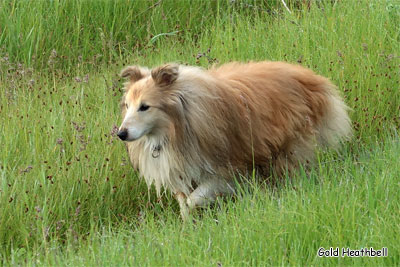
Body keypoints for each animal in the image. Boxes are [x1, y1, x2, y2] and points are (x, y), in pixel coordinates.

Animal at [117, 61, 352, 220]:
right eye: (127, 105)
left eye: (145, 106)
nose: (121, 134)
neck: (175, 127)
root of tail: (314, 79)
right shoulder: (179, 168)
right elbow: (184, 202)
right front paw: (187, 226)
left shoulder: (227, 168)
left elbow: (195, 198)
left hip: (292, 144)